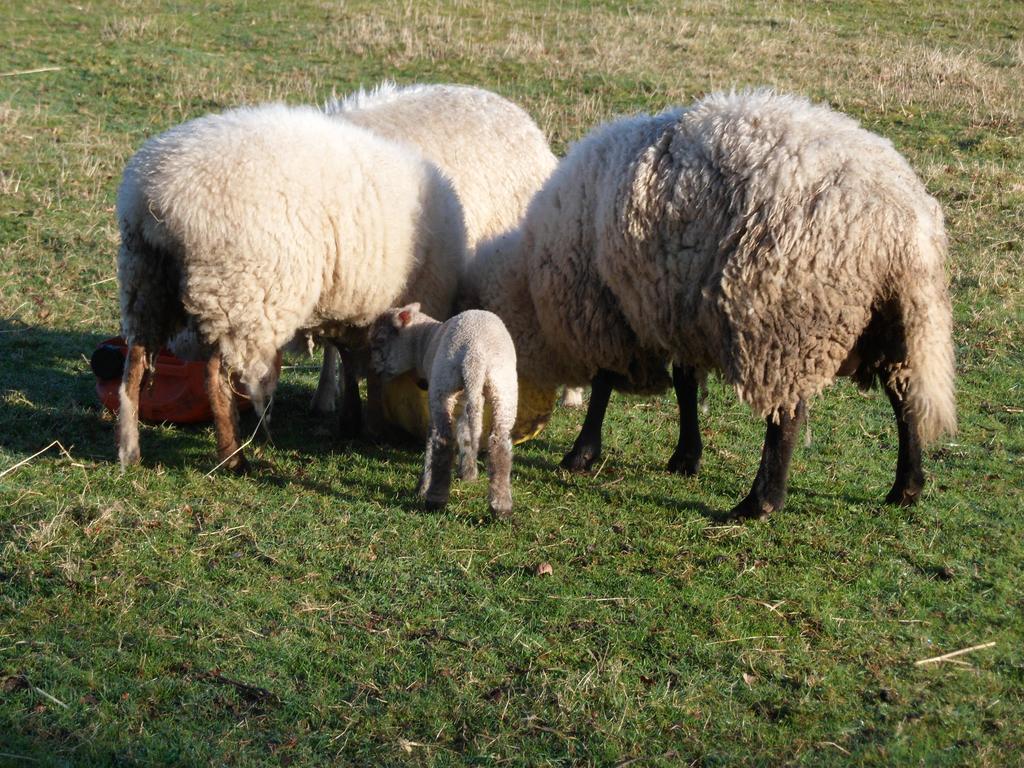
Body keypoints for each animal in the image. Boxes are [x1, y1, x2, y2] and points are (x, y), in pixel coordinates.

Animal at [116, 102, 464, 473]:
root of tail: (155, 196)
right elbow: (372, 369)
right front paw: (373, 426)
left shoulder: (352, 309)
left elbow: (352, 360)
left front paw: (352, 421)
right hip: (237, 292)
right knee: (215, 378)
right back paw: (233, 457)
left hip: (145, 282)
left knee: (134, 365)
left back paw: (129, 450)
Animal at [368, 303, 520, 520]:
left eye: (380, 340)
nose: (373, 369)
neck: (425, 341)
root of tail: (475, 355)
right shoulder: (467, 395)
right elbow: (466, 429)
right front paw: (468, 472)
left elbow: (432, 439)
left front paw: (422, 486)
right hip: (503, 385)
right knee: (499, 443)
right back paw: (501, 508)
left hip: (443, 382)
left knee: (443, 441)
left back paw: (434, 499)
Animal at [468, 91, 950, 524]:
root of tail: (898, 221)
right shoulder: (676, 309)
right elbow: (684, 384)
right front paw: (685, 456)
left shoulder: (606, 309)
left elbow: (604, 382)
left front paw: (581, 454)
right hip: (896, 323)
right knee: (905, 400)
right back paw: (906, 487)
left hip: (786, 323)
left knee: (788, 417)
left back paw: (759, 502)